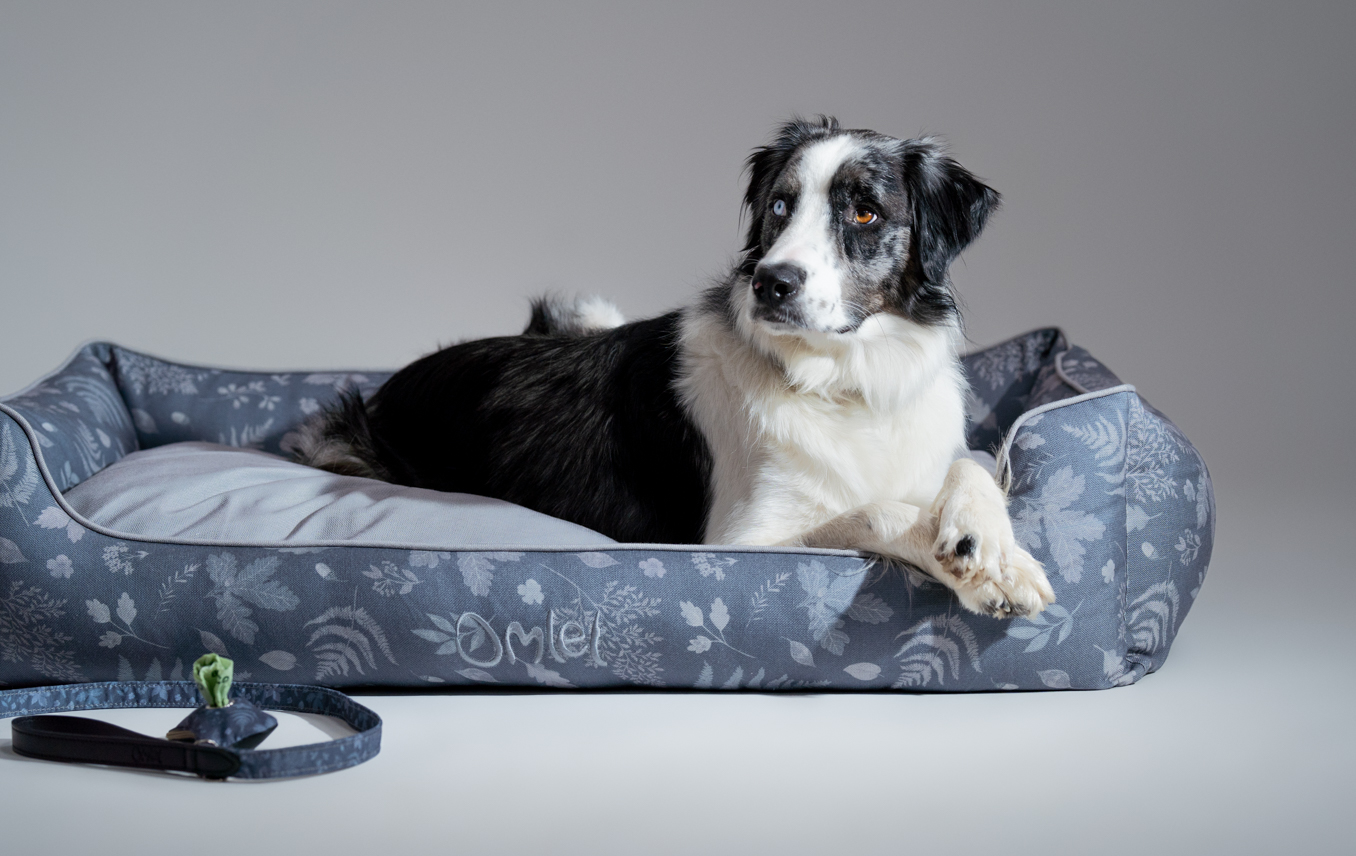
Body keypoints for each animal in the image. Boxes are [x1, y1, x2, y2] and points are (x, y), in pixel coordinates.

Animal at [288, 117, 1057, 618]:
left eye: (864, 213)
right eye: (780, 206)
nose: (771, 284)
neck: (847, 383)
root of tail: (390, 391)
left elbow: (975, 465)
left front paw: (990, 547)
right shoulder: (746, 540)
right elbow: (871, 508)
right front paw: (980, 561)